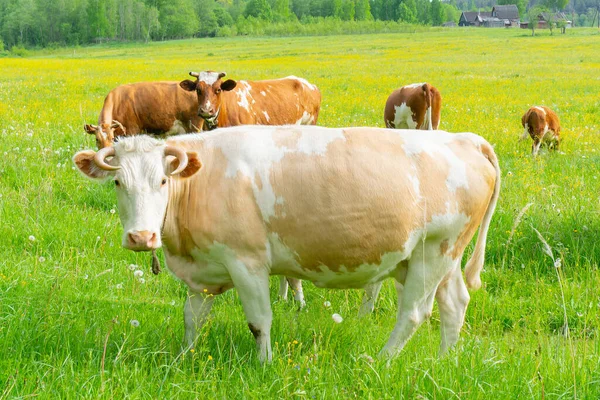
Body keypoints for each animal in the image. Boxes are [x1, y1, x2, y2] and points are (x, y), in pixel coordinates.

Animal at [72, 126, 500, 364]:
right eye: (117, 182)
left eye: (162, 181)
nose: (140, 237)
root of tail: (466, 140)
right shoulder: (203, 271)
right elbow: (192, 319)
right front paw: (183, 359)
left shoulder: (247, 263)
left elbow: (259, 321)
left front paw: (264, 365)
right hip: (440, 258)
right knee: (454, 304)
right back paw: (444, 361)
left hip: (433, 251)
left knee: (413, 313)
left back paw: (380, 361)